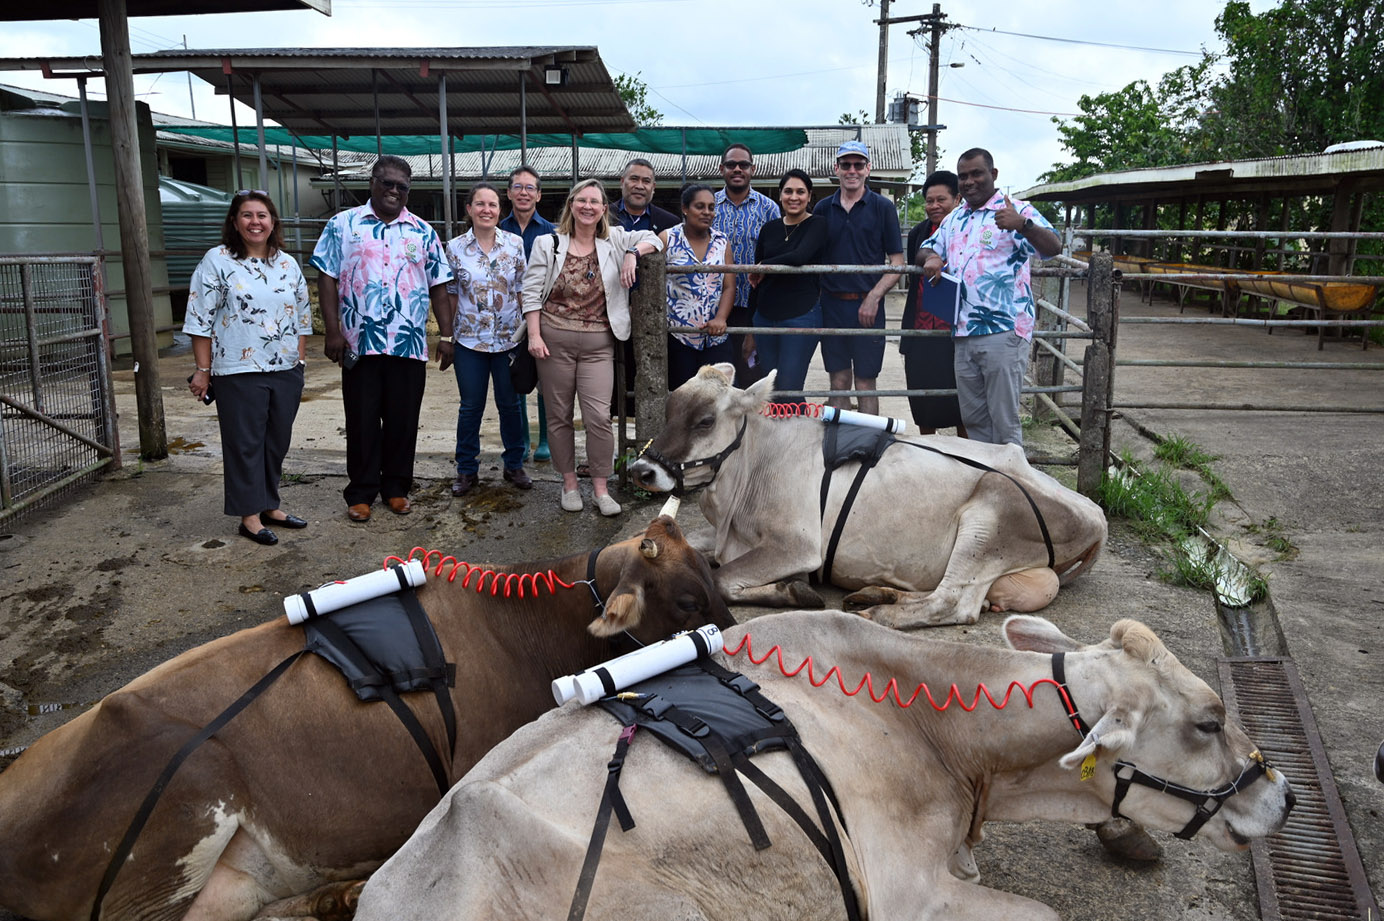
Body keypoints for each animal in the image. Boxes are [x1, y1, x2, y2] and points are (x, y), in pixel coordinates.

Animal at [628, 362, 1101, 628]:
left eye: (705, 420)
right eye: (669, 410)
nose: (640, 470)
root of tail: (1095, 515)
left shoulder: (796, 546)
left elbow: (724, 580)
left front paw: (795, 591)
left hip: (991, 517)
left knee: (953, 602)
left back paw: (877, 613)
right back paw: (877, 593)